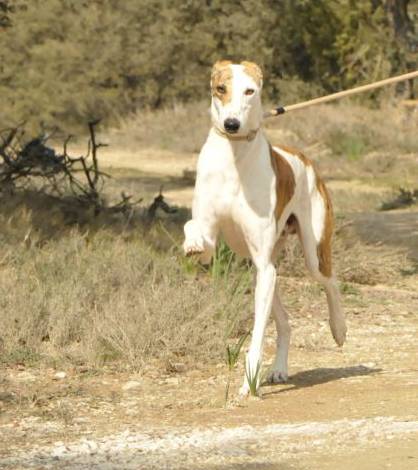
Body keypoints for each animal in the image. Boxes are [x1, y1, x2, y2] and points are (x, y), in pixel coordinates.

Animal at [183, 59, 346, 396]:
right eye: (221, 88)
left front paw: (248, 380)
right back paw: (279, 369)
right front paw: (190, 242)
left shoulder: (265, 262)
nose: (232, 124)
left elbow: (257, 335)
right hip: (264, 269)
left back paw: (339, 327)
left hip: (310, 254)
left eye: (250, 91)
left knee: (330, 281)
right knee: (285, 322)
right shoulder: (213, 245)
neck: (234, 158)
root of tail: (304, 157)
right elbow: (196, 231)